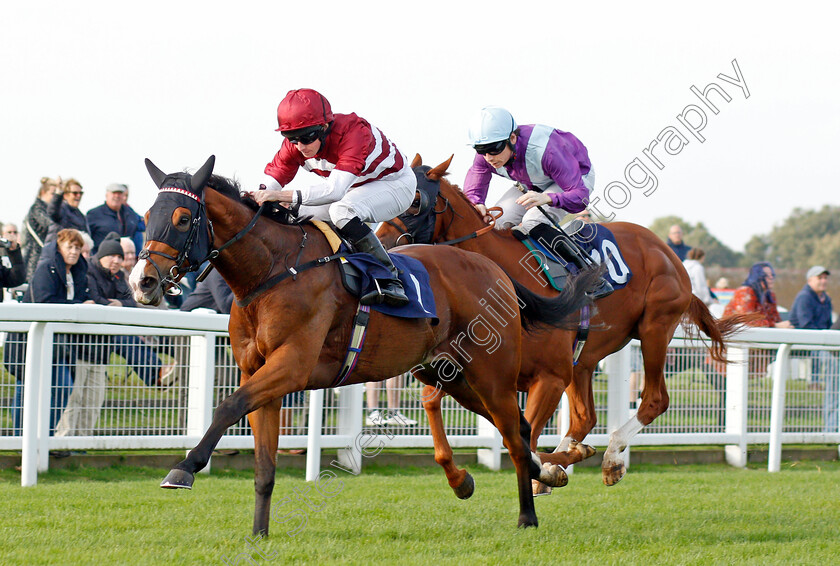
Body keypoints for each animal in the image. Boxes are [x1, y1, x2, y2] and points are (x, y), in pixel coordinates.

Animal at [128, 155, 596, 532]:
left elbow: (228, 405)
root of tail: (496, 270)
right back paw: (519, 476)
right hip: (455, 376)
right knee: (516, 427)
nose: (141, 282)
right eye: (149, 212)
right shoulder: (259, 373)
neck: (272, 271)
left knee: (515, 438)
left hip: (492, 373)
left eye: (183, 218)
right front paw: (259, 534)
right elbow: (264, 466)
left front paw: (184, 469)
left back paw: (527, 515)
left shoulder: (291, 366)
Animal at [378, 153, 752, 490]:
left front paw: (548, 467)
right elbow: (432, 400)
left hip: (655, 328)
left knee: (654, 399)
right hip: (583, 360)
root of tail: (667, 250)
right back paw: (563, 464)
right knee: (586, 417)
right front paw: (466, 476)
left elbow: (523, 437)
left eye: (415, 200)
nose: (379, 245)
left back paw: (608, 458)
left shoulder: (550, 378)